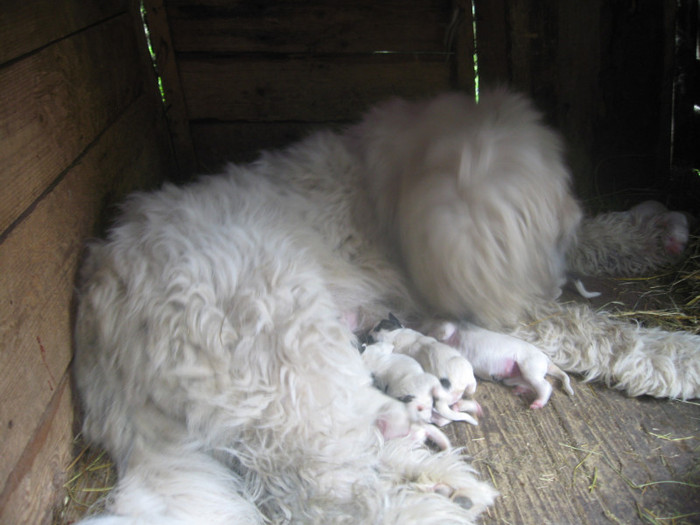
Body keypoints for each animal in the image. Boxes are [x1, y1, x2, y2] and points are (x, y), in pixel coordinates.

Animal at [432, 320, 576, 410]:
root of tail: (546, 359)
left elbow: (443, 331)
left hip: (531, 367)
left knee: (545, 386)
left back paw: (536, 404)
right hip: (514, 377)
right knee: (527, 384)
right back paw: (518, 390)